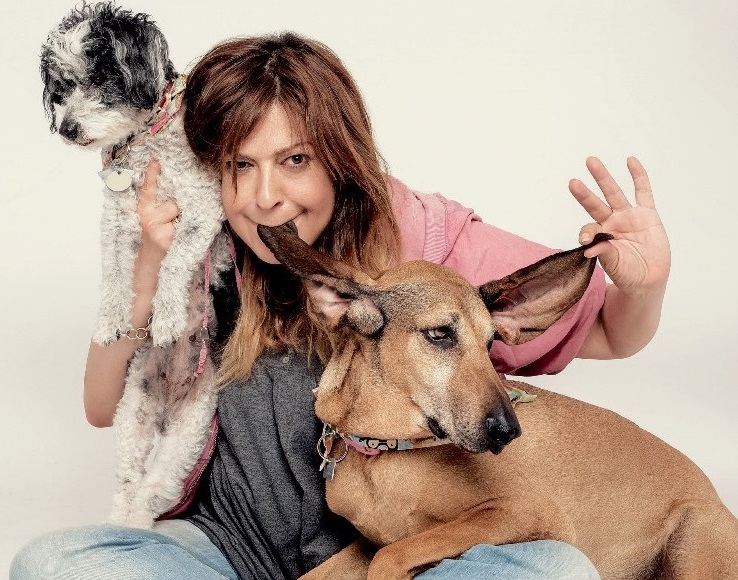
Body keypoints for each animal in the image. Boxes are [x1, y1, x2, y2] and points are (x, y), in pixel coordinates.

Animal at [41, 2, 230, 527]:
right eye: (61, 87)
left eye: (101, 78)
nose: (67, 129)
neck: (145, 145)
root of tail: (165, 404)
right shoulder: (117, 221)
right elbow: (112, 276)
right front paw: (109, 322)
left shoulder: (202, 210)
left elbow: (174, 264)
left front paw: (164, 317)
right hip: (131, 422)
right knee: (128, 487)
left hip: (186, 439)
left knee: (149, 494)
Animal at [258, 222, 738, 580]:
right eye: (439, 334)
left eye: (491, 343)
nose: (509, 431)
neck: (383, 449)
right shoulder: (363, 542)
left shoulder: (521, 512)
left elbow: (392, 555)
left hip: (692, 540)